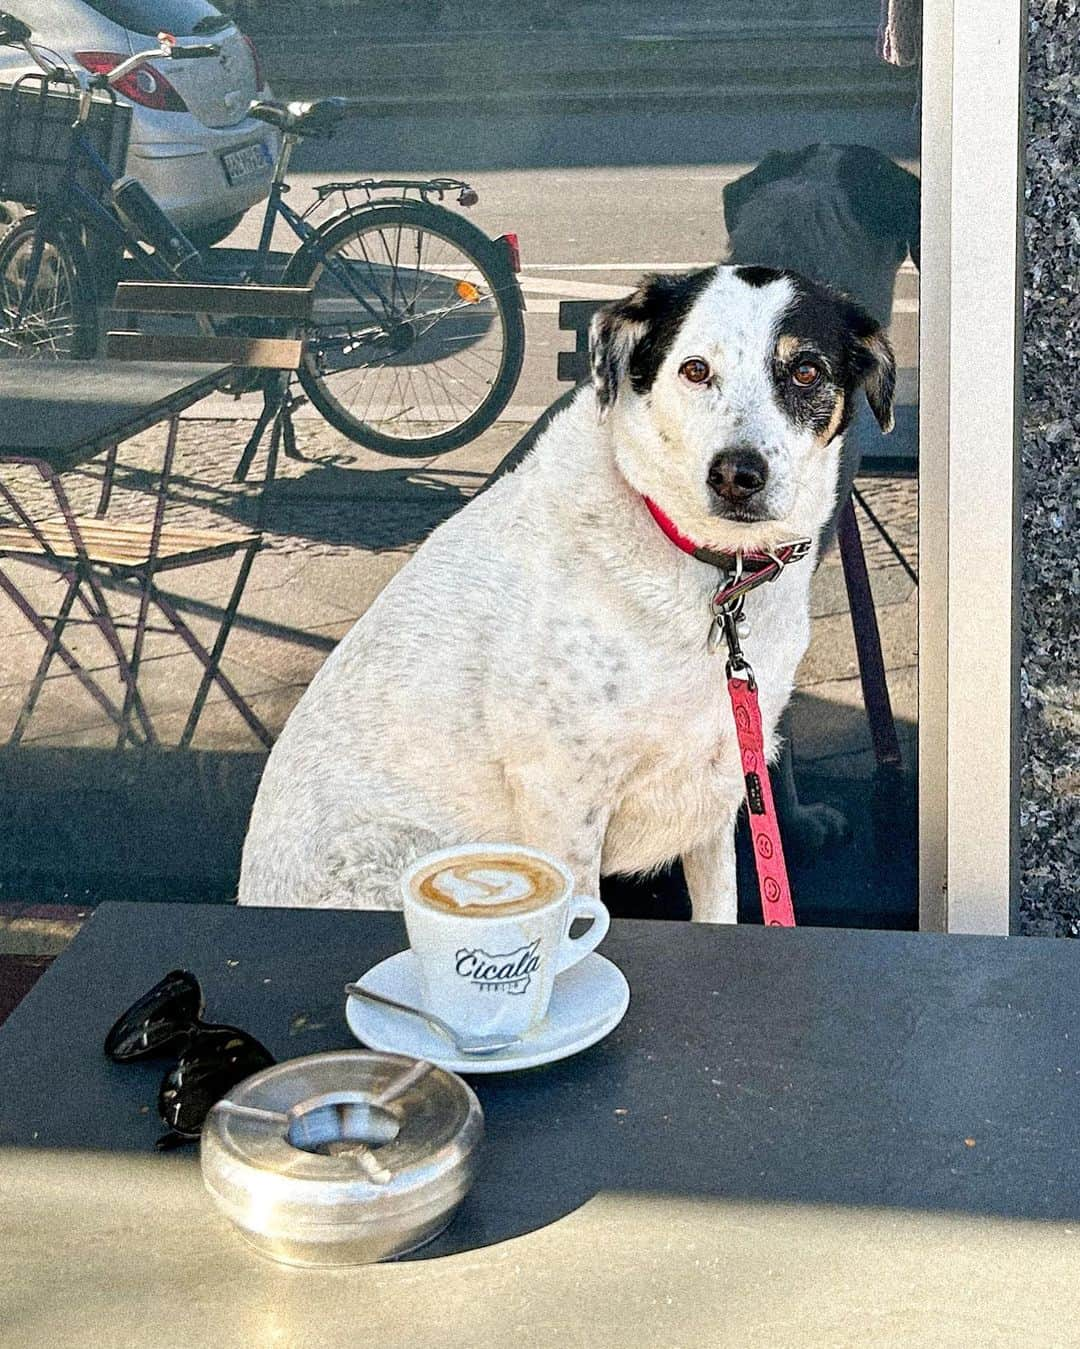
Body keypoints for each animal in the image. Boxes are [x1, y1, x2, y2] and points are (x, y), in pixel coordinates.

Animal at [242, 268, 895, 922]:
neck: (717, 574)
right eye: (694, 370)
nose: (737, 475)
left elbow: (721, 906)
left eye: (805, 371)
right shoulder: (564, 801)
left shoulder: (718, 786)